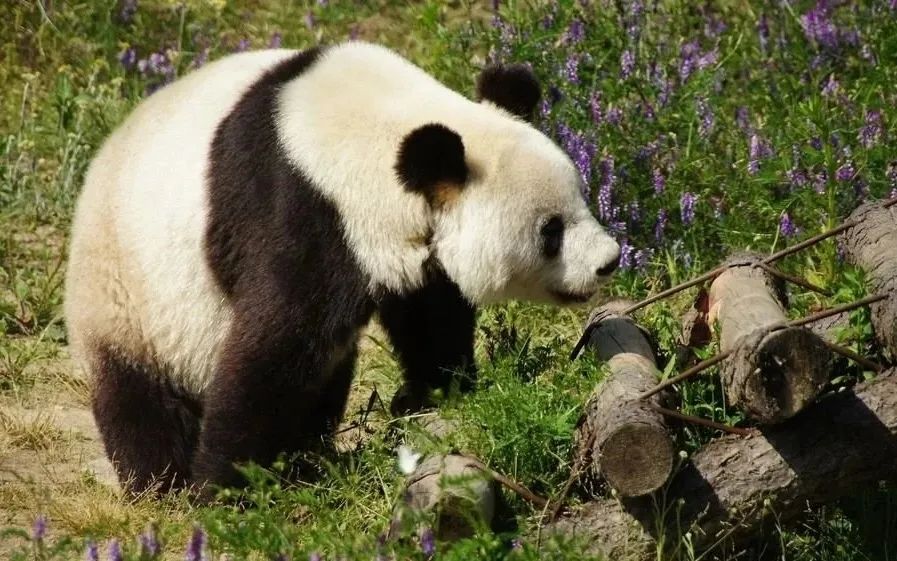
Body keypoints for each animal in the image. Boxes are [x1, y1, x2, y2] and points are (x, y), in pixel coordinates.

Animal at [65, 41, 624, 496]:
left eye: (581, 196)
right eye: (550, 231)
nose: (609, 260)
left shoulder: (398, 241)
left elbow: (429, 311)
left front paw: (435, 392)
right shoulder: (300, 210)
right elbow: (274, 345)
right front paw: (225, 486)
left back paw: (305, 459)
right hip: (126, 295)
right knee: (139, 396)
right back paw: (164, 483)